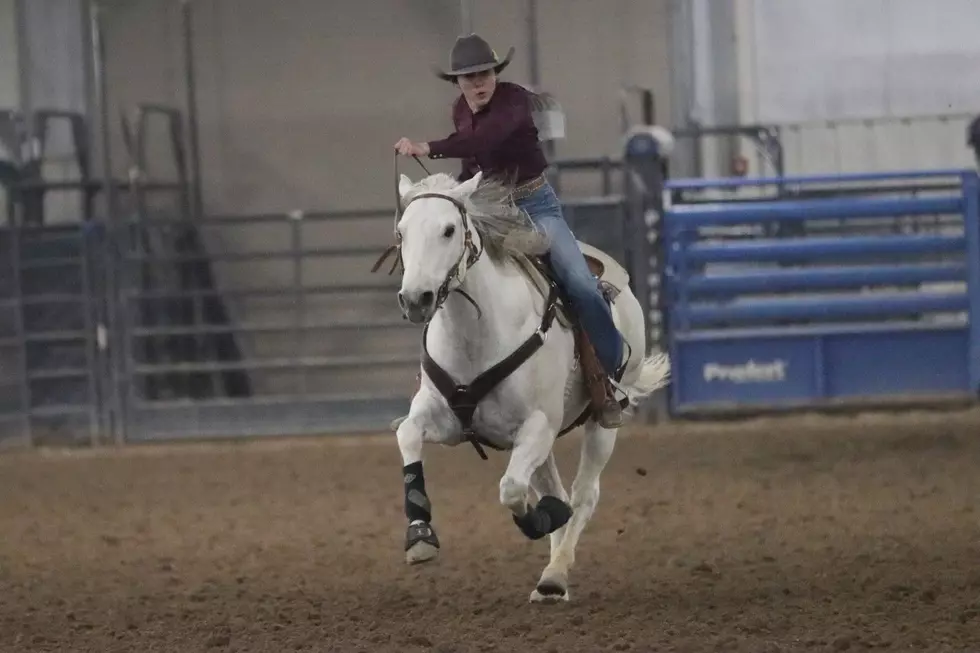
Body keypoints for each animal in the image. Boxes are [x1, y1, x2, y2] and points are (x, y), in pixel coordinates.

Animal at [386, 168, 668, 600]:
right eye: (401, 232)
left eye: (449, 229)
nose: (416, 298)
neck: (477, 335)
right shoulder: (443, 420)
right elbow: (409, 437)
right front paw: (419, 536)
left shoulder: (538, 425)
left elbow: (512, 489)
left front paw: (540, 521)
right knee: (555, 488)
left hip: (601, 423)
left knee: (583, 495)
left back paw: (555, 576)